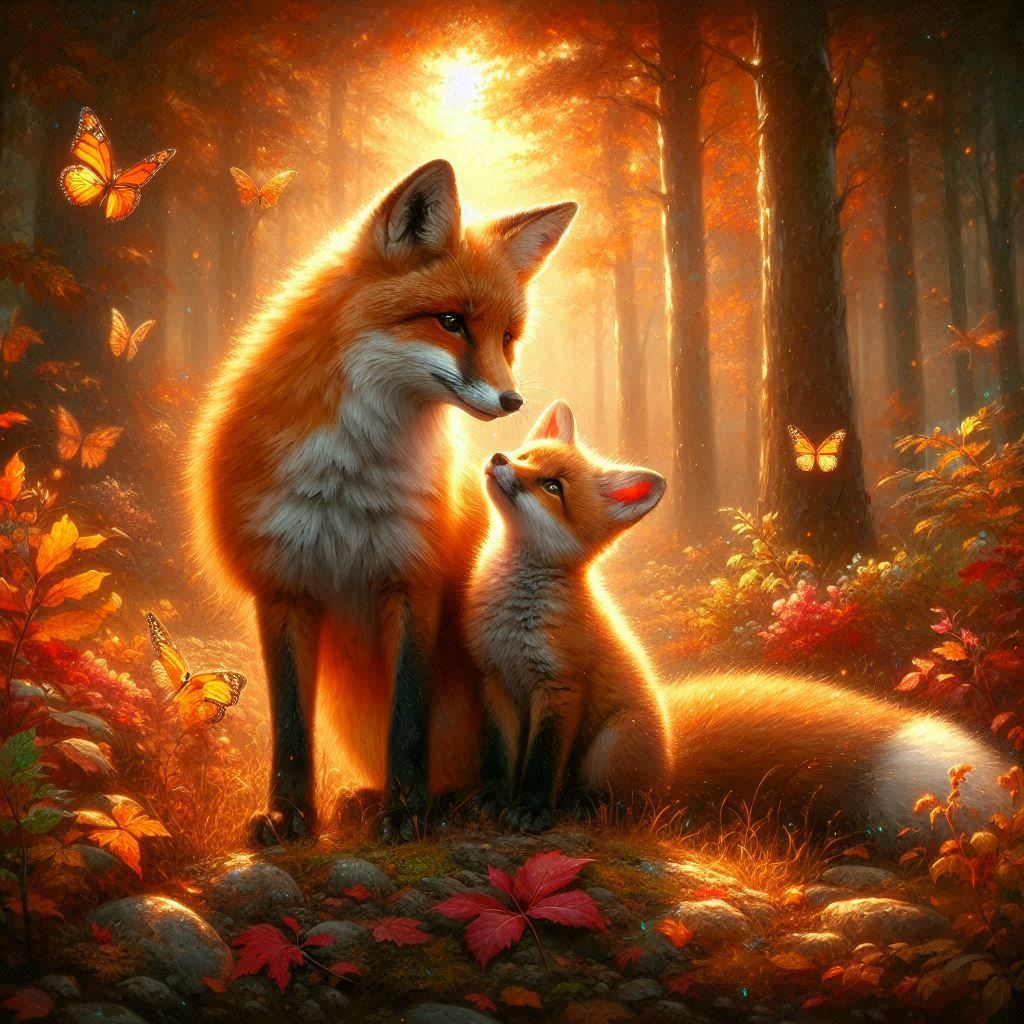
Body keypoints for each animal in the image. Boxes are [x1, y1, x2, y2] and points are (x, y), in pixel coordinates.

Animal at [190, 159, 577, 843]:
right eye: (451, 321)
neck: (348, 478)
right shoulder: (283, 584)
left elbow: (409, 717)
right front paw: (289, 816)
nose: (512, 402)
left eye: (507, 337)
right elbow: (290, 727)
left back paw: (460, 802)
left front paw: (406, 812)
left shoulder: (413, 580)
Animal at [466, 401, 1010, 838]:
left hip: (614, 742)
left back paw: (588, 807)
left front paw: (531, 811)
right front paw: (490, 799)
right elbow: (501, 756)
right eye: (525, 454)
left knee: (631, 805)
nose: (498, 458)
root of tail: (673, 758)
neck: (512, 619)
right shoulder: (493, 680)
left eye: (551, 486)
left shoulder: (561, 687)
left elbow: (540, 764)